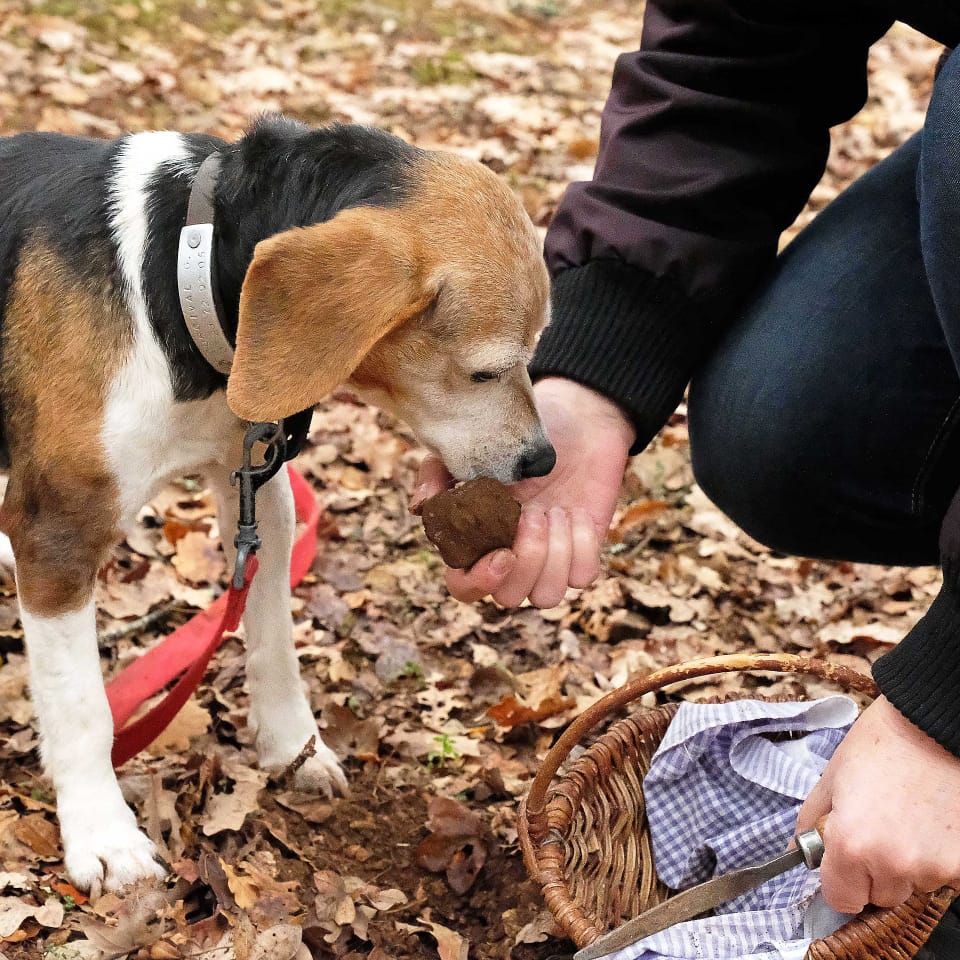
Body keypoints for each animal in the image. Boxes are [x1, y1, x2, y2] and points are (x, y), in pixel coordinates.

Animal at [0, 118, 556, 892]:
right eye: (485, 371)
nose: (544, 461)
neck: (180, 268)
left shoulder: (256, 491)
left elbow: (274, 639)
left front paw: (292, 745)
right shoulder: (59, 531)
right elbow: (82, 706)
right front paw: (103, 834)